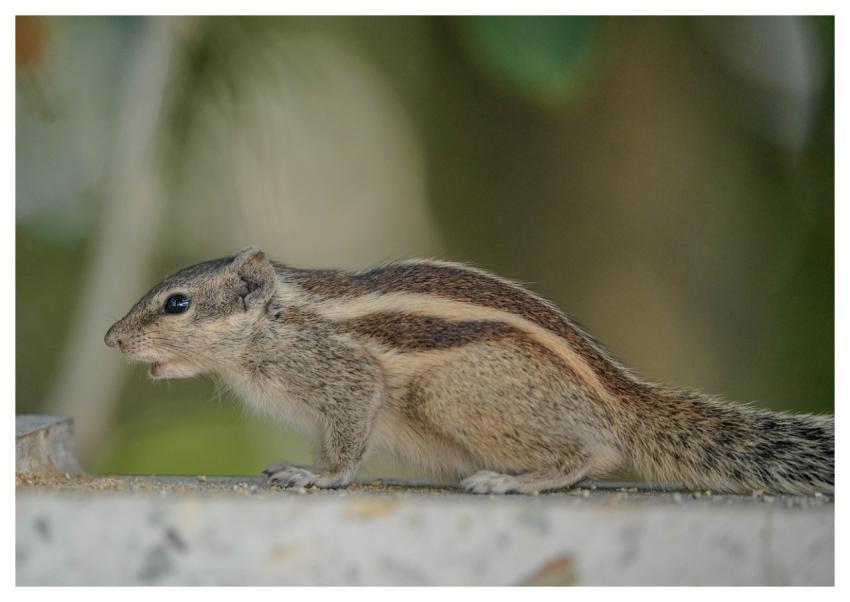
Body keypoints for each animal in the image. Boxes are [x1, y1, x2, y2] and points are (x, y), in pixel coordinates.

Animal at [104, 247, 834, 495]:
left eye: (177, 303)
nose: (112, 338)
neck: (277, 321)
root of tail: (617, 398)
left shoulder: (343, 374)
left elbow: (347, 439)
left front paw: (317, 476)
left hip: (453, 395)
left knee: (590, 454)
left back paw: (515, 480)